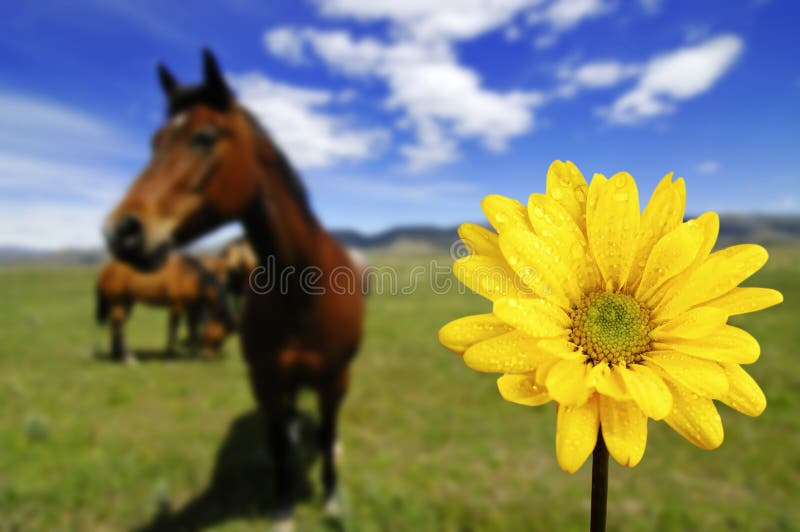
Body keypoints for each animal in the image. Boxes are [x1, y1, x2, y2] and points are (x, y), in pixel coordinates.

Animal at [96, 253, 234, 362]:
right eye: (218, 338)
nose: (207, 357)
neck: (188, 276)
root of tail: (106, 268)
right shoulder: (177, 306)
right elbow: (173, 330)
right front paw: (169, 357)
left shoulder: (192, 307)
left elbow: (193, 330)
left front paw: (193, 355)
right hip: (117, 302)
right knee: (119, 326)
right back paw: (127, 357)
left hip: (126, 302)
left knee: (116, 324)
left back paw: (116, 355)